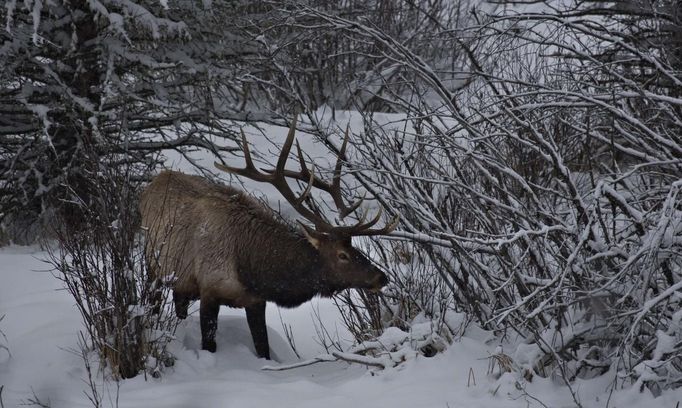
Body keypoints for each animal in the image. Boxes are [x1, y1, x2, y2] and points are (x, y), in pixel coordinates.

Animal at [141, 118, 396, 360]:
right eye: (342, 255)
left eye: (354, 248)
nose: (381, 277)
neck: (251, 269)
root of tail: (154, 182)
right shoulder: (209, 290)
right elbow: (209, 345)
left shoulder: (255, 301)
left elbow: (263, 348)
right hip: (153, 266)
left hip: (180, 282)